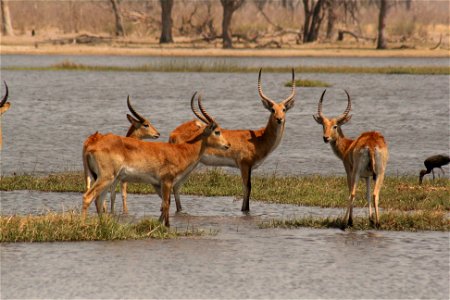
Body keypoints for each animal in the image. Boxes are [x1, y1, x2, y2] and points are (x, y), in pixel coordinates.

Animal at [81, 92, 230, 226]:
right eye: (217, 131)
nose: (227, 145)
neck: (180, 151)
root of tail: (91, 146)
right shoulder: (167, 181)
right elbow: (166, 205)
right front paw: (166, 227)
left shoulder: (157, 184)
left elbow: (165, 205)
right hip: (106, 178)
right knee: (88, 197)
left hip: (104, 179)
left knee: (99, 201)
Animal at [169, 68, 296, 213]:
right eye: (273, 109)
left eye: (284, 109)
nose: (279, 119)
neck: (259, 138)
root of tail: (174, 133)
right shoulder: (244, 165)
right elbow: (248, 187)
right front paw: (245, 211)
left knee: (176, 186)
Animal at [312, 89, 390, 227]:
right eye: (323, 125)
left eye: (335, 126)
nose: (325, 138)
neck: (349, 145)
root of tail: (371, 145)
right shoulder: (368, 176)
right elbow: (367, 194)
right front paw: (370, 219)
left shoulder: (349, 172)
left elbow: (350, 192)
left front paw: (350, 220)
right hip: (380, 173)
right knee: (375, 194)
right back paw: (377, 222)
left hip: (356, 172)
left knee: (353, 193)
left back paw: (345, 222)